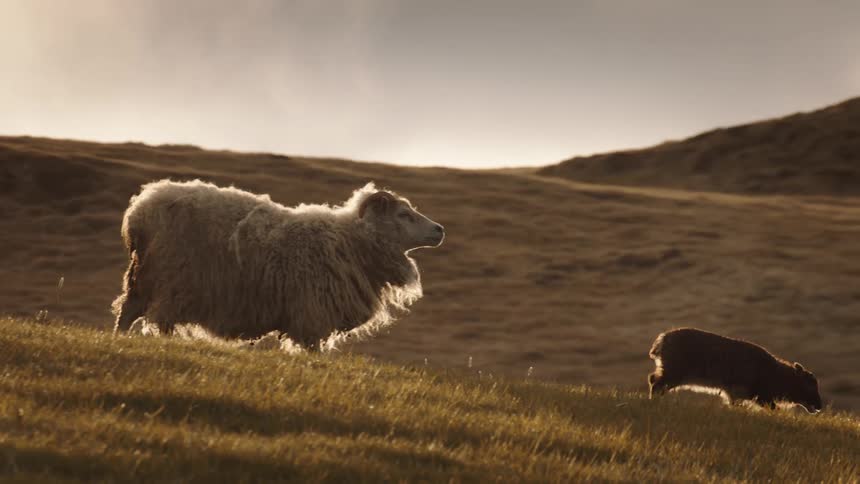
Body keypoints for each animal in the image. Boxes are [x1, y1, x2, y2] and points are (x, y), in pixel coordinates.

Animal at [111, 179, 445, 350]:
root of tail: (140, 209)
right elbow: (313, 350)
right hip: (173, 279)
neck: (351, 241)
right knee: (158, 318)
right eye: (403, 214)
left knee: (127, 311)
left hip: (143, 278)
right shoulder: (312, 312)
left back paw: (119, 340)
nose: (440, 230)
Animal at [648, 327, 822, 413]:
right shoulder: (760, 396)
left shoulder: (735, 396)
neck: (776, 374)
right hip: (673, 374)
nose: (819, 406)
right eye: (809, 385)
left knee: (653, 379)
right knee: (655, 383)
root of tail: (662, 339)